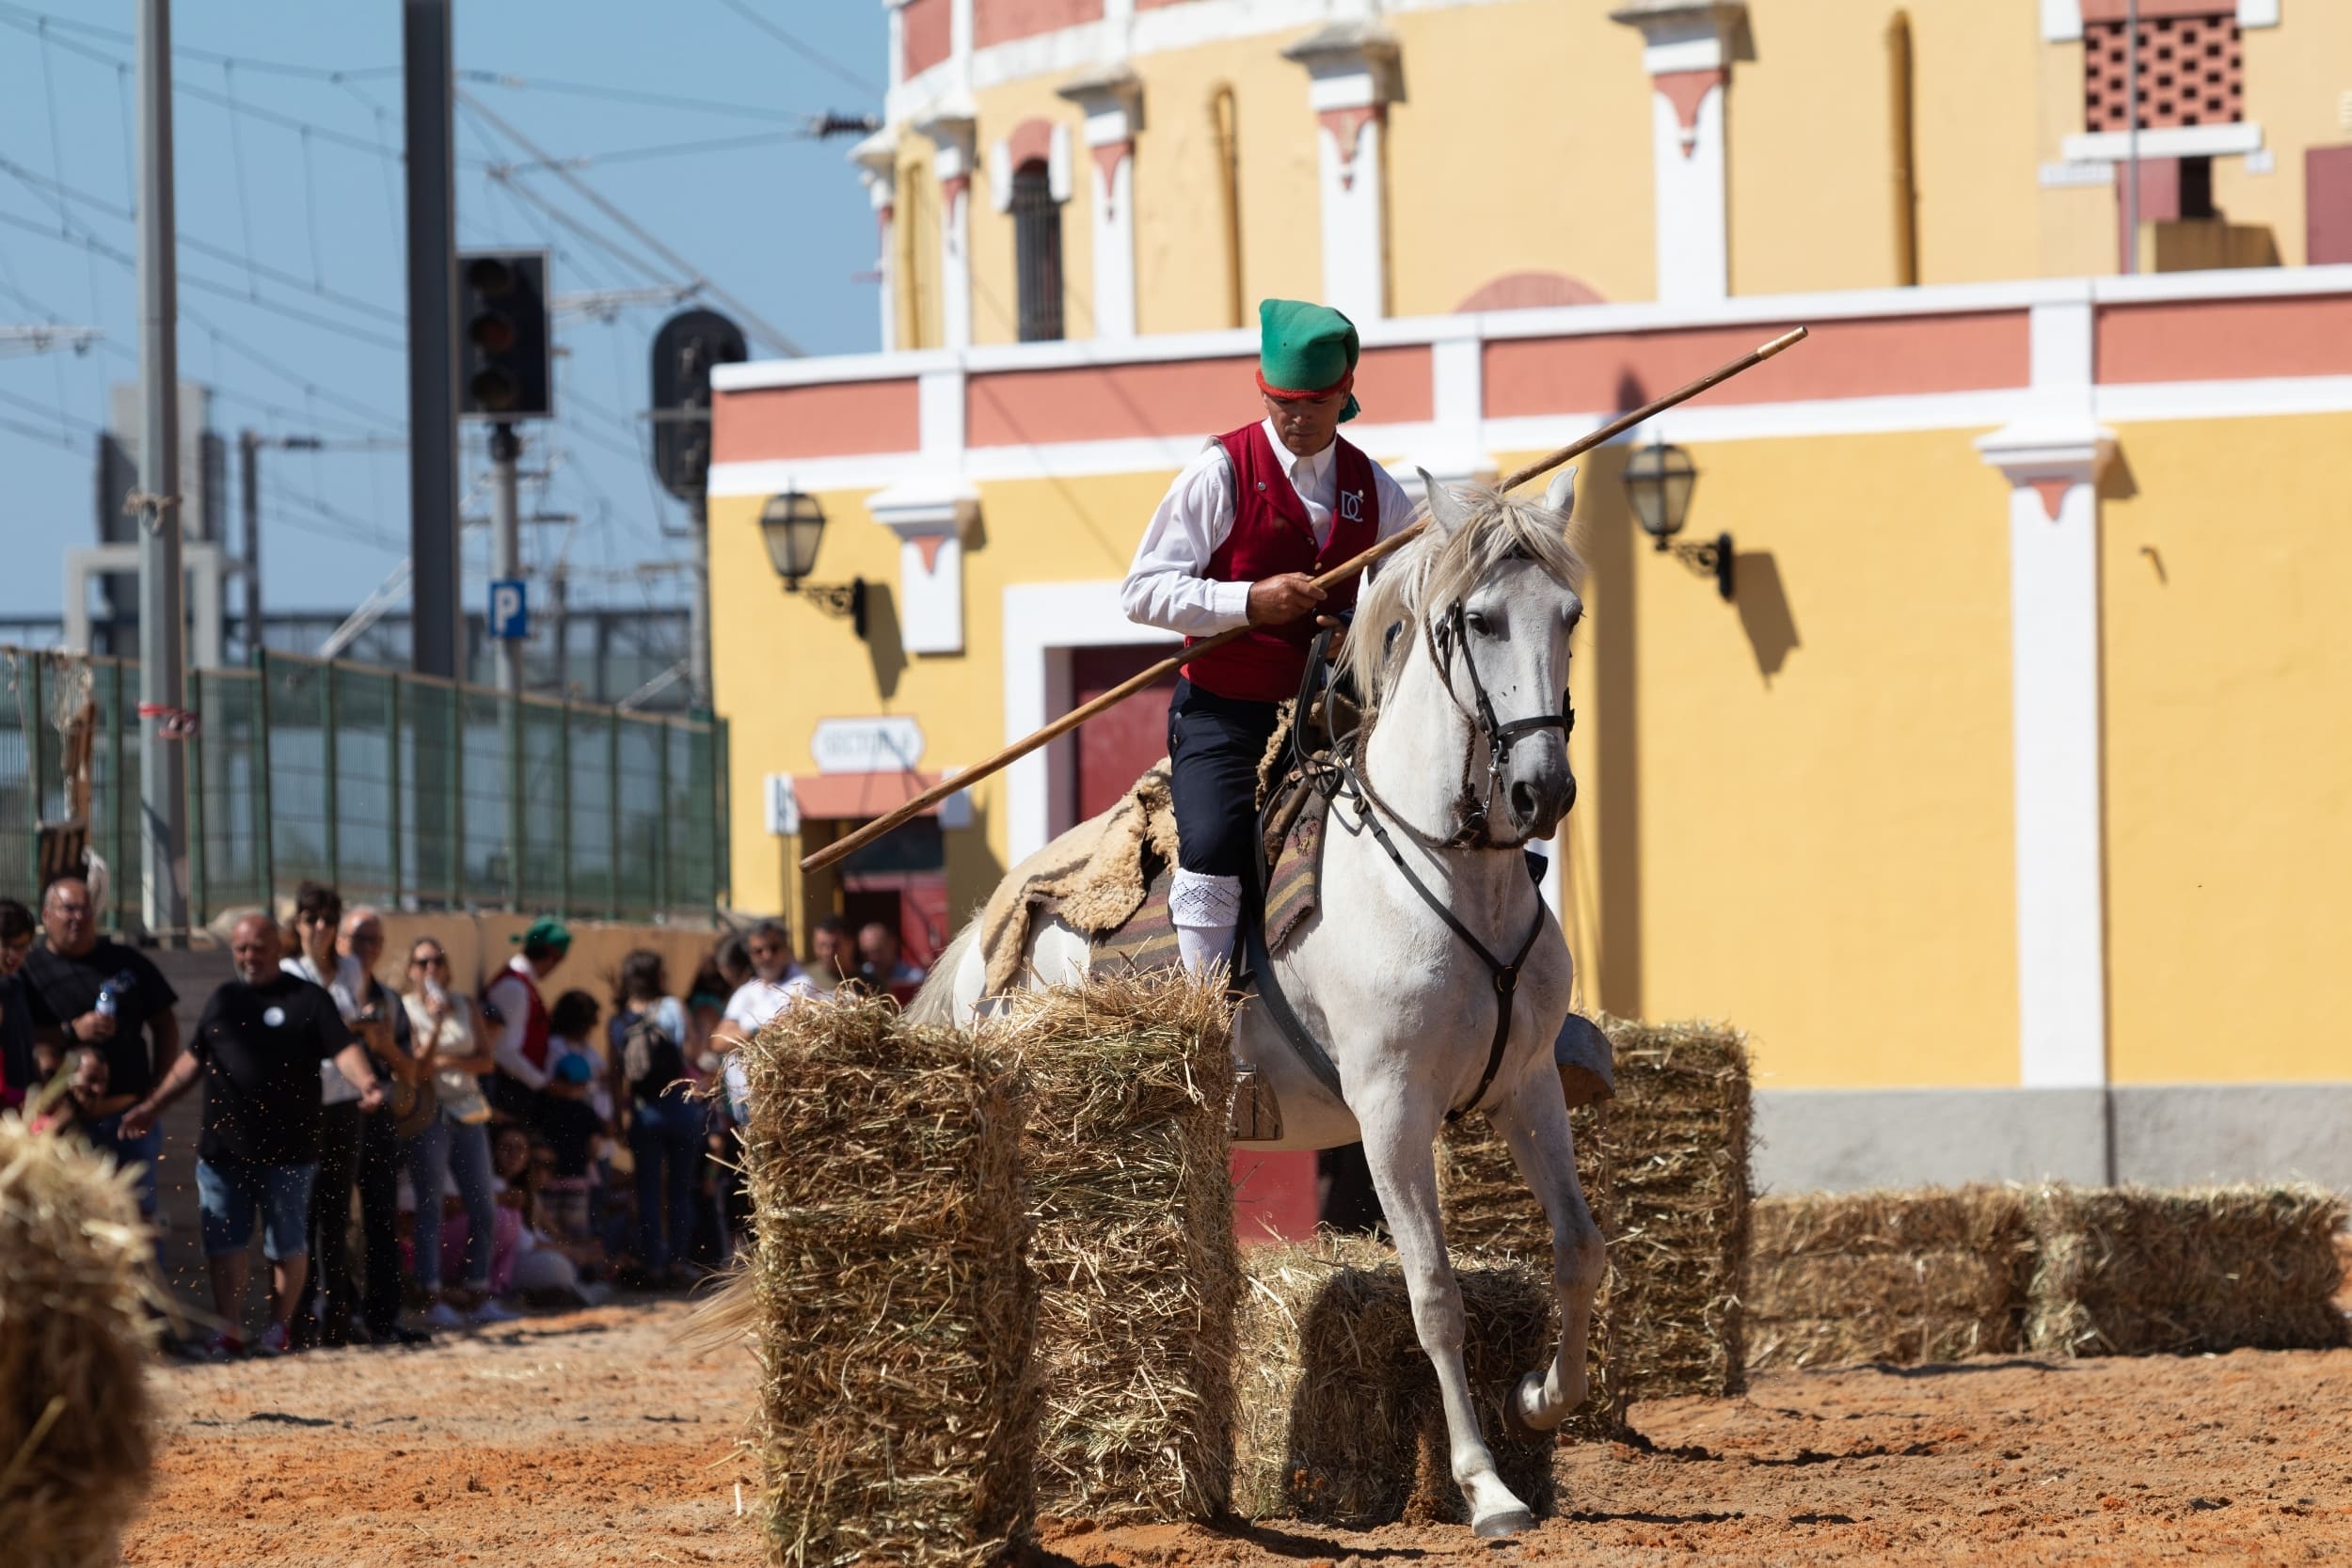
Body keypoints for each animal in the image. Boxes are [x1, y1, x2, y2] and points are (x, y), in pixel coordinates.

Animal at [913, 469, 1599, 1542]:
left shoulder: (1527, 1089)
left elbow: (1576, 1248)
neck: (1449, 875)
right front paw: (1486, 1485)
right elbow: (1433, 1292)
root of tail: (993, 923)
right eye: (1482, 619)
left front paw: (1538, 1396)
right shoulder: (1390, 1108)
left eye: (1568, 615)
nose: (1543, 790)